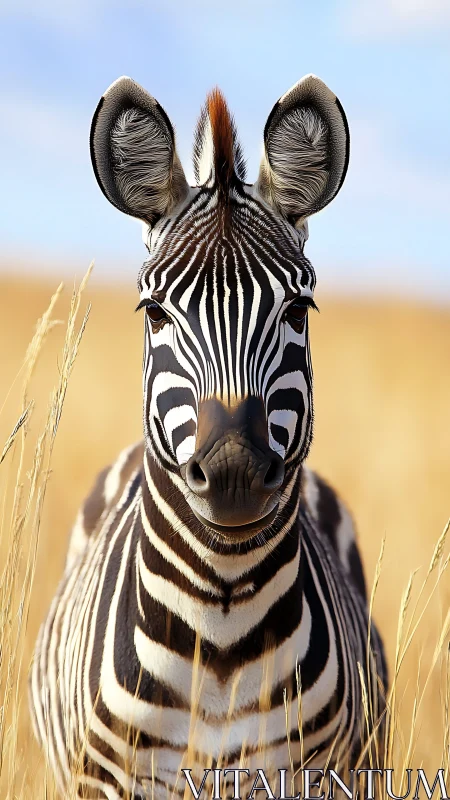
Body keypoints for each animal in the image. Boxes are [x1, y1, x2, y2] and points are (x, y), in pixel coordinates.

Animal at [29, 74, 387, 799]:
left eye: (298, 309)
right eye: (154, 312)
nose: (232, 471)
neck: (219, 640)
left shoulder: (306, 775)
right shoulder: (112, 780)